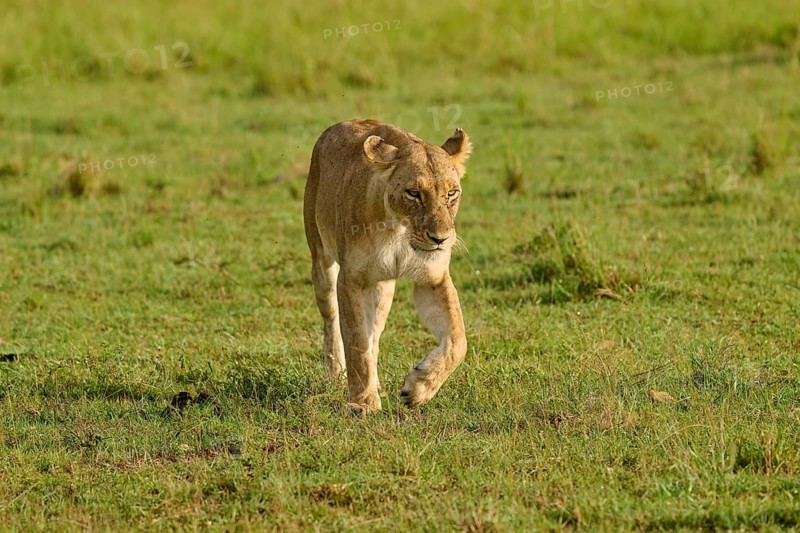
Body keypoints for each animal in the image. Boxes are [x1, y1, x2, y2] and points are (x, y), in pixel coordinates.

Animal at [303, 119, 472, 413]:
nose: (440, 239)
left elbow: (457, 340)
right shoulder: (350, 280)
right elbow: (356, 342)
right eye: (414, 193)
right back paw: (337, 375)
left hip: (383, 289)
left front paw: (419, 387)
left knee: (375, 335)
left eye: (452, 193)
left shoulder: (434, 279)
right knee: (332, 322)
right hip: (322, 263)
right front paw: (364, 403)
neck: (399, 231)